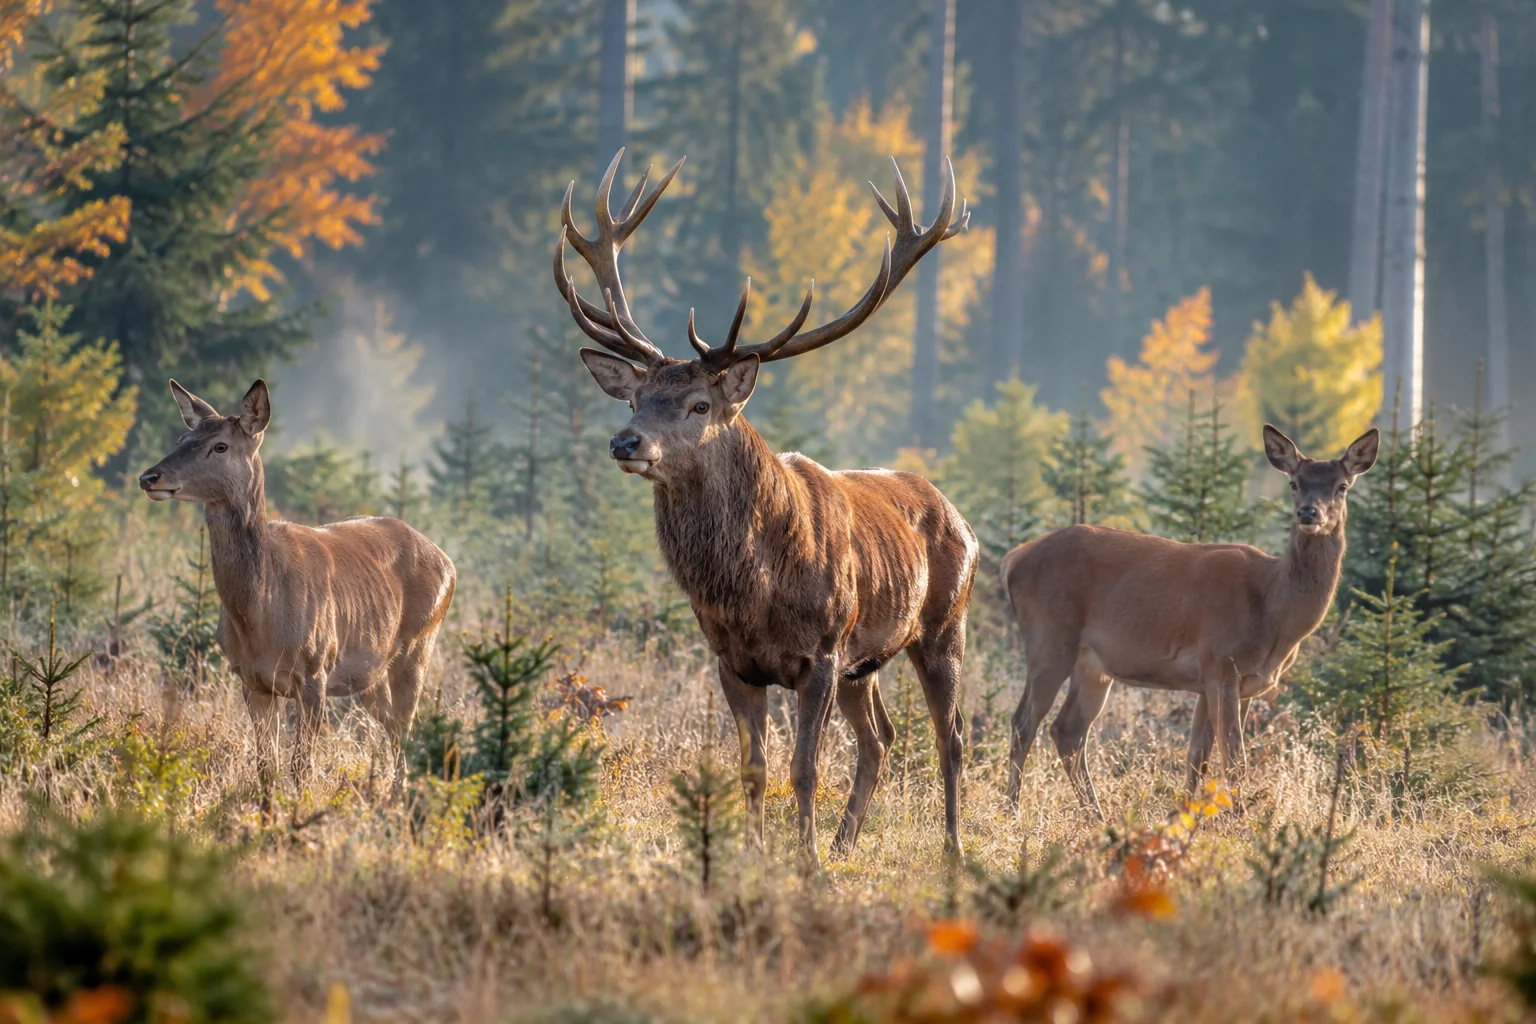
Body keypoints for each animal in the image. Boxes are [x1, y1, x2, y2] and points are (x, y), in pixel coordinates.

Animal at [138, 379, 457, 815]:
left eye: (220, 446)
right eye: (182, 438)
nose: (149, 476)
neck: (261, 615)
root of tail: (449, 562)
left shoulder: (314, 670)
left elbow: (301, 765)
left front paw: (299, 813)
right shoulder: (251, 680)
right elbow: (265, 765)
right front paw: (267, 815)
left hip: (419, 644)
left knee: (409, 726)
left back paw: (399, 801)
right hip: (371, 672)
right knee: (393, 726)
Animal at [555, 149, 978, 861]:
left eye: (700, 404)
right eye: (635, 399)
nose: (624, 442)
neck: (752, 591)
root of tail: (959, 515)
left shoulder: (822, 654)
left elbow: (804, 768)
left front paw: (804, 860)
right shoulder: (733, 662)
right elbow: (752, 768)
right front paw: (756, 855)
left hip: (943, 627)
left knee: (951, 738)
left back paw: (949, 847)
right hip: (867, 665)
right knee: (882, 738)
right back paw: (845, 845)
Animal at [1000, 424, 1380, 819]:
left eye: (1342, 486)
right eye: (1294, 482)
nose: (1308, 513)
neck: (1273, 613)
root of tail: (1013, 559)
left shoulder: (1227, 682)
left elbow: (1198, 757)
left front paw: (1184, 816)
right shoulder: (1221, 662)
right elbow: (1234, 760)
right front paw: (1236, 818)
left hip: (1093, 666)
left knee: (1067, 730)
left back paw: (1096, 816)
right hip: (1048, 639)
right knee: (1024, 723)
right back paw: (1011, 811)